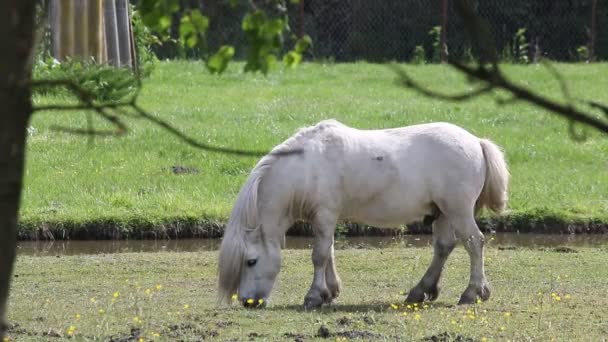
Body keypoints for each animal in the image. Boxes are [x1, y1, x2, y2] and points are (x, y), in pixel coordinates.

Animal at [217, 119, 508, 308]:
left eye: (251, 261)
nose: (247, 302)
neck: (305, 167)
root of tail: (476, 142)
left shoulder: (324, 215)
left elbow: (319, 255)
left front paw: (314, 296)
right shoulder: (326, 219)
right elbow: (329, 252)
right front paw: (330, 291)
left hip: (458, 210)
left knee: (474, 242)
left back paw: (472, 293)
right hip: (443, 213)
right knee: (444, 247)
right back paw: (420, 291)